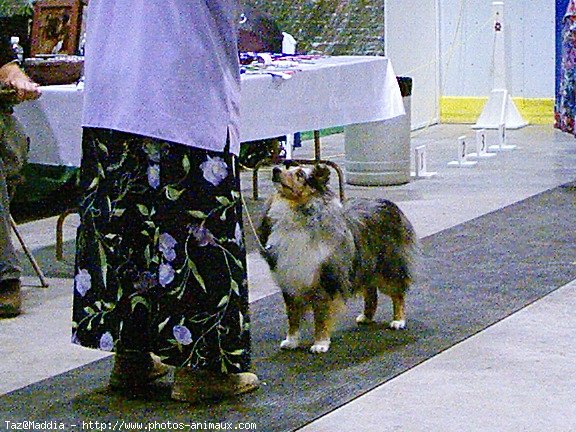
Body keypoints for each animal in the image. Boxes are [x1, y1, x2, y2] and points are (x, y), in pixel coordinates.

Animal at [258, 164, 416, 352]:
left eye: (300, 174)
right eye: (286, 167)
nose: (275, 169)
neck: (297, 213)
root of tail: (387, 203)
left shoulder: (325, 281)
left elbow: (320, 317)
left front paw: (320, 344)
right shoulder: (290, 281)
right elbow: (293, 317)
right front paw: (291, 341)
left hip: (388, 266)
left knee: (397, 293)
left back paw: (398, 320)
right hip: (365, 265)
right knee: (371, 293)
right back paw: (366, 317)